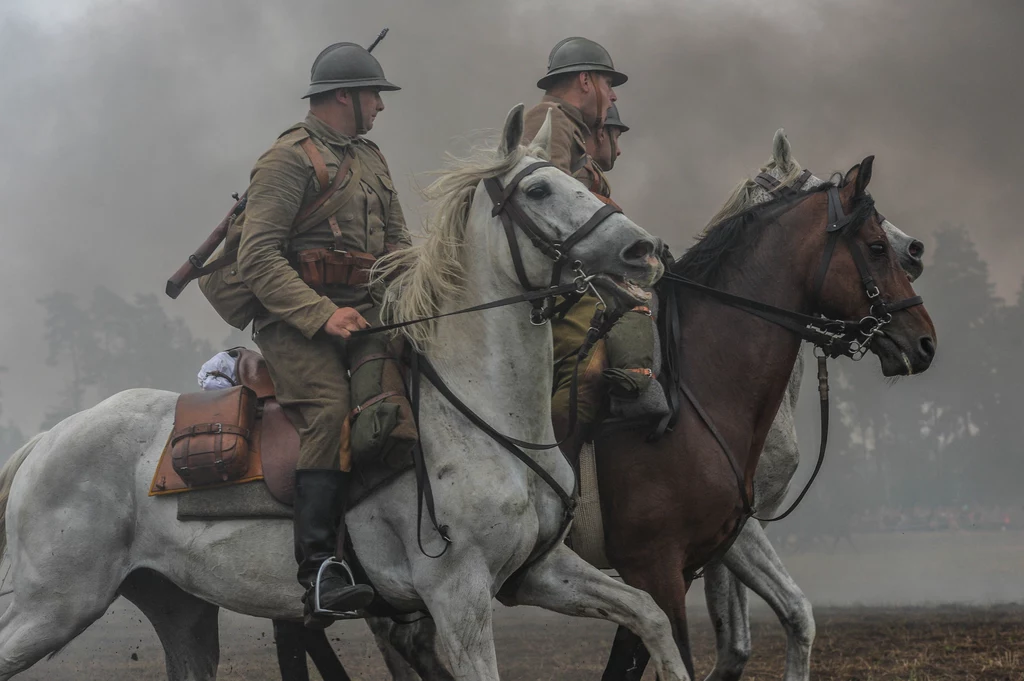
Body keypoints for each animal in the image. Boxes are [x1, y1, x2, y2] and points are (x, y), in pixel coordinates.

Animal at [0, 106, 696, 679]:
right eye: (540, 188)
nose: (643, 249)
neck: (486, 418)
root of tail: (46, 441)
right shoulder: (458, 598)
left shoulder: (541, 573)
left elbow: (650, 614)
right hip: (54, 605)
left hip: (180, 608)